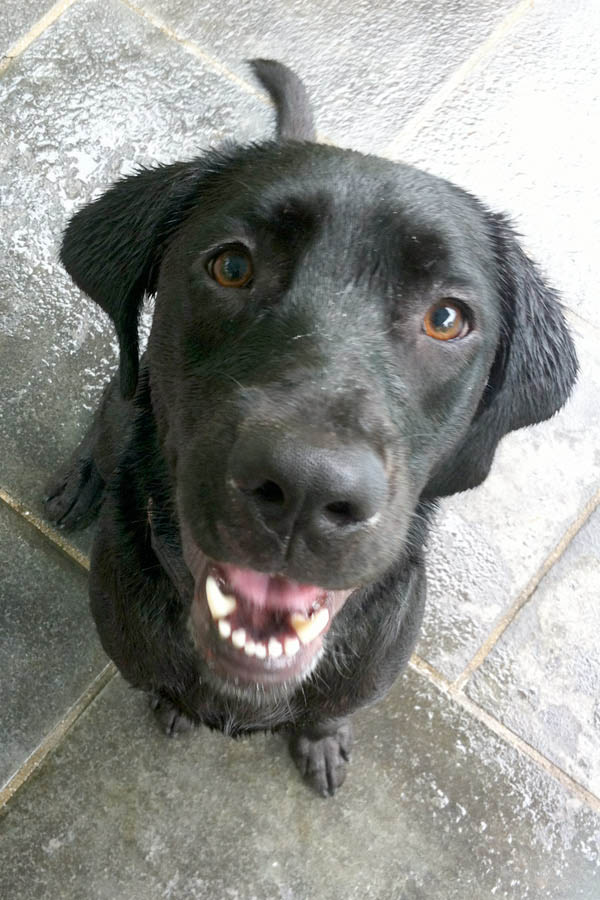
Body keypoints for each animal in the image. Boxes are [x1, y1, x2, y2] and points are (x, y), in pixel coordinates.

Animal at [44, 61, 580, 796]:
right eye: (232, 266)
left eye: (447, 319)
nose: (305, 488)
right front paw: (173, 707)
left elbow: (327, 712)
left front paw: (322, 740)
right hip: (127, 398)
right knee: (108, 413)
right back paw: (78, 479)